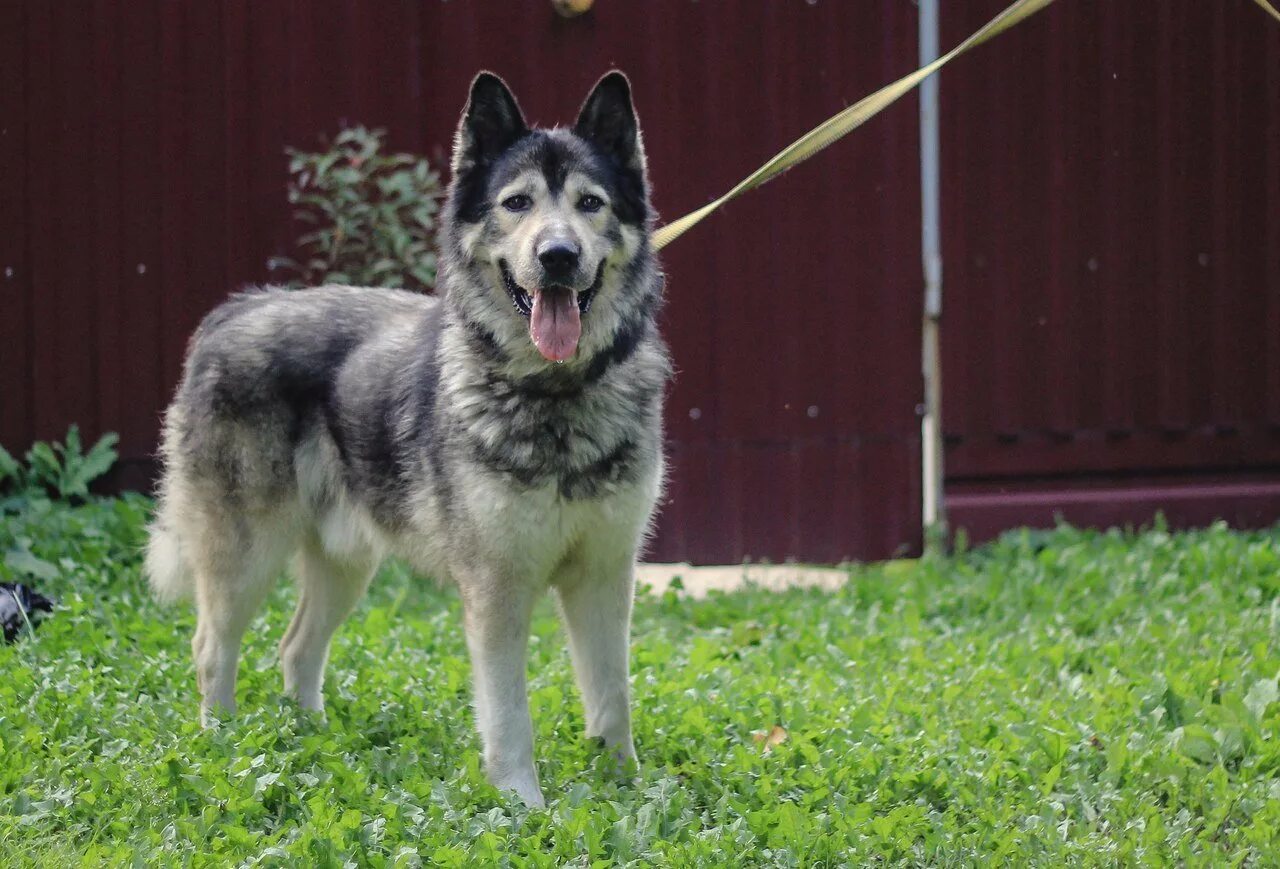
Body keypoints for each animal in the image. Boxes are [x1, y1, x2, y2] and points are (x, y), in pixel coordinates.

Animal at [145, 69, 670, 808]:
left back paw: (311, 743)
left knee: (295, 647)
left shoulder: (605, 577)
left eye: (590, 204)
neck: (555, 394)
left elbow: (612, 698)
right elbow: (510, 715)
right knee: (212, 650)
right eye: (516, 203)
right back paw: (222, 747)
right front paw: (524, 806)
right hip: (243, 556)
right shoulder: (497, 593)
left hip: (345, 562)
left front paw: (624, 789)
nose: (558, 256)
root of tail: (239, 307)